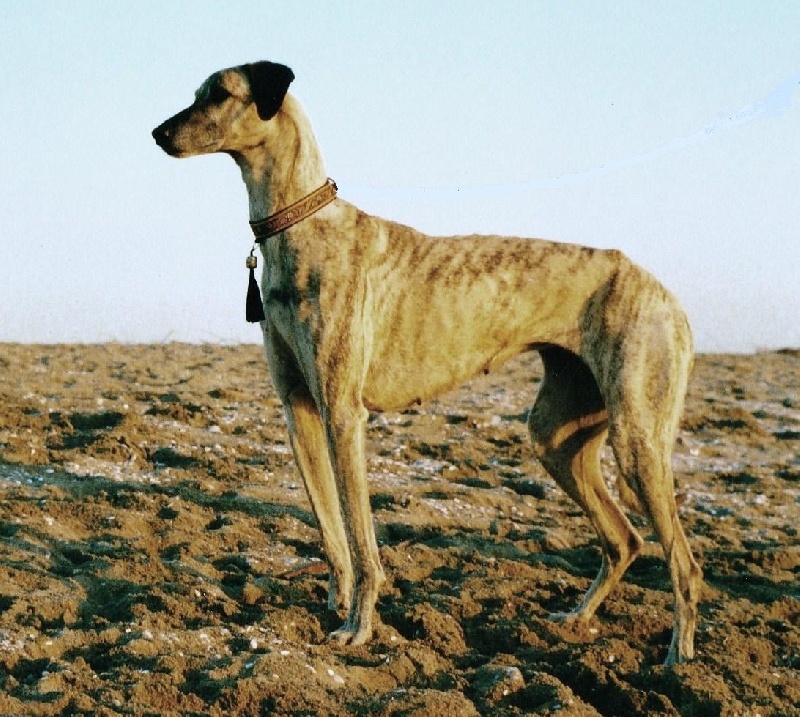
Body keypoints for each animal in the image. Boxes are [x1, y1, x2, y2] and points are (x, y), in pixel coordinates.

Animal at [153, 61, 704, 664]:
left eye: (219, 94)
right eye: (196, 92)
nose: (158, 134)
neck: (300, 225)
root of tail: (669, 298)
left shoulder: (343, 414)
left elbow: (360, 537)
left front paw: (359, 628)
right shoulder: (299, 411)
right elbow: (331, 531)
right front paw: (336, 606)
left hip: (637, 439)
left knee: (684, 564)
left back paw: (678, 660)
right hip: (558, 434)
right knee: (624, 538)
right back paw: (573, 621)